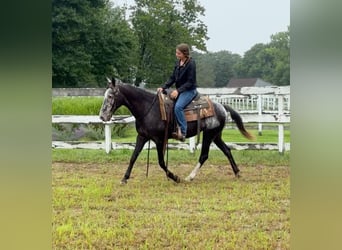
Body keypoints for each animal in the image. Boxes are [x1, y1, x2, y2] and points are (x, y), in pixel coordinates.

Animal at [99, 78, 254, 184]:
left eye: (110, 96)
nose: (102, 116)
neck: (149, 108)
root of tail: (221, 107)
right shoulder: (142, 137)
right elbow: (133, 157)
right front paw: (124, 178)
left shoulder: (159, 140)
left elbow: (161, 162)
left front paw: (175, 177)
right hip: (216, 136)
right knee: (227, 150)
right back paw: (237, 173)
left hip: (209, 135)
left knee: (204, 155)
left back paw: (189, 177)